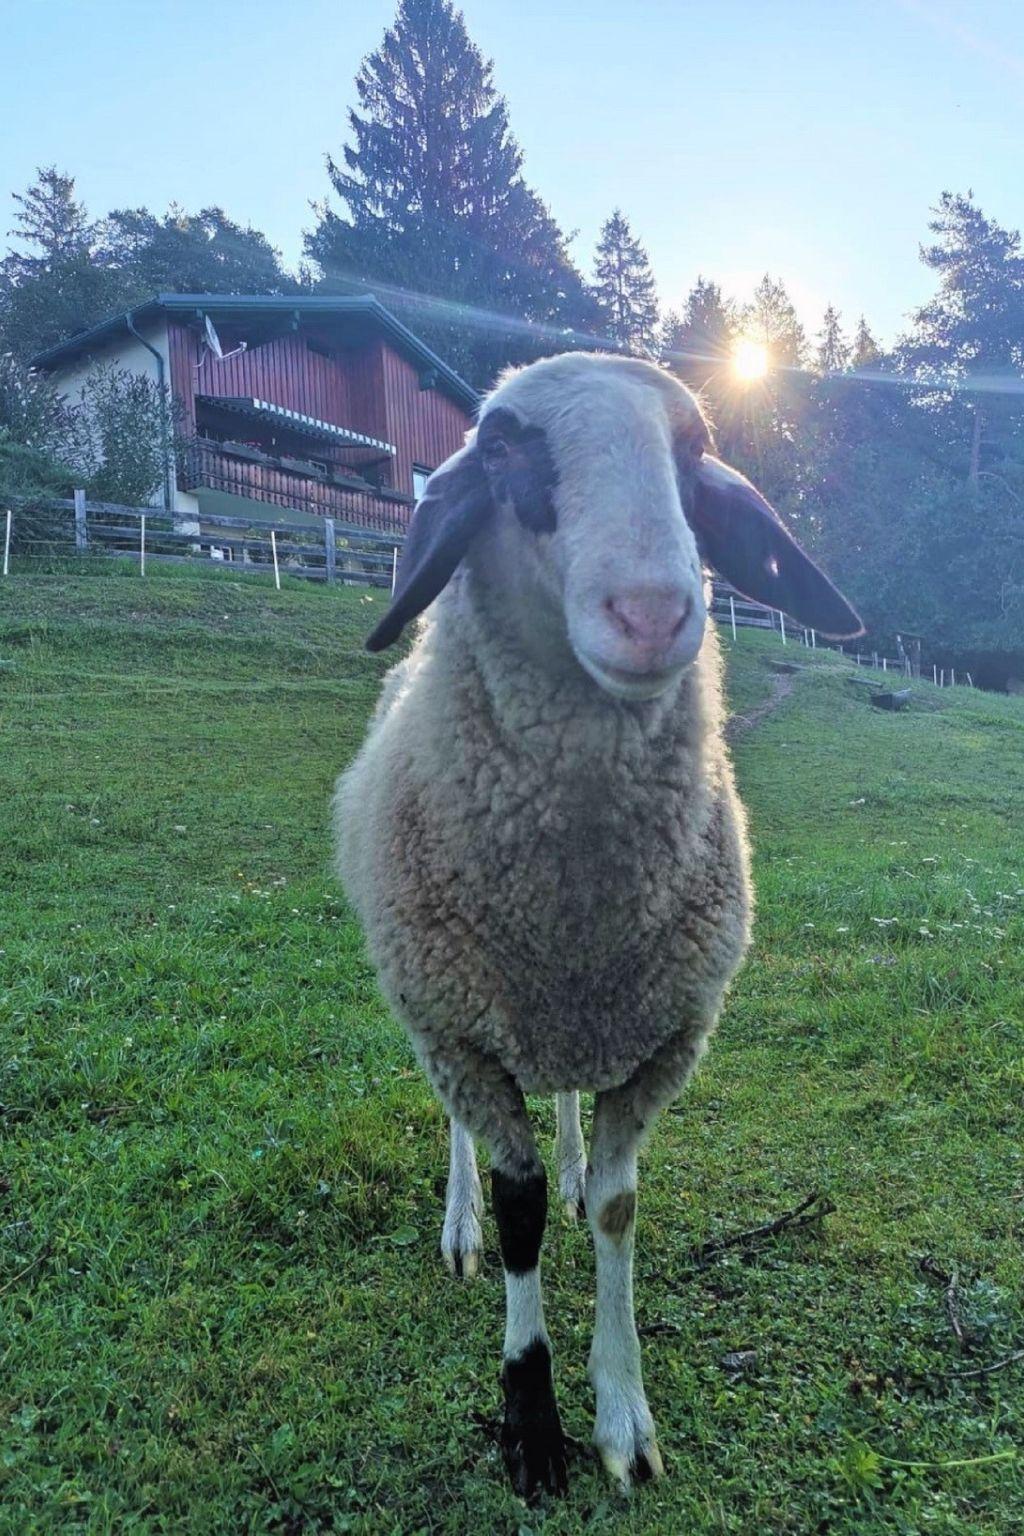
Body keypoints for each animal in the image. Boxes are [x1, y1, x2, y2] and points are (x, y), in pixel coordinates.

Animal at [333, 351, 859, 1499]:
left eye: (695, 448)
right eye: (500, 445)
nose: (654, 614)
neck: (571, 909)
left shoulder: (660, 1042)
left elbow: (619, 1211)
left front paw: (622, 1416)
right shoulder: (465, 1036)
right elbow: (518, 1206)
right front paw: (531, 1423)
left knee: (568, 1101)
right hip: (441, 1017)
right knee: (460, 1137)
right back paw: (458, 1229)